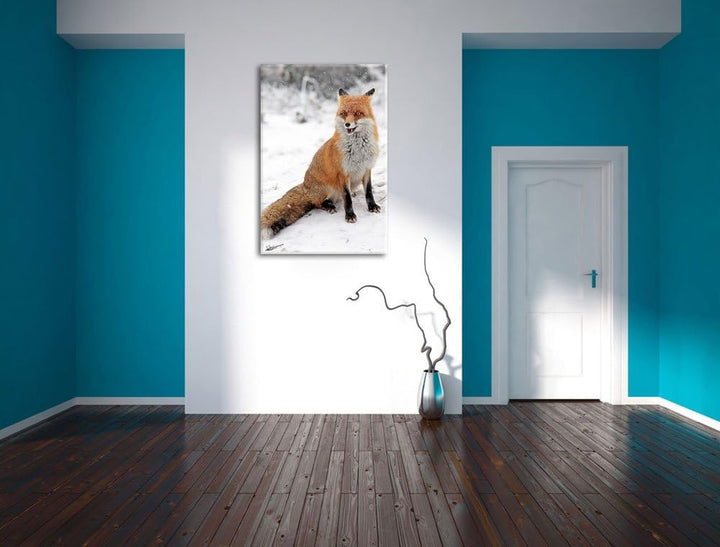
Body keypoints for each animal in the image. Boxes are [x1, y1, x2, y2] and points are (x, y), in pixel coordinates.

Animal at [261, 87, 381, 239]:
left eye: (358, 113)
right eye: (344, 113)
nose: (347, 124)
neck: (358, 150)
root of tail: (305, 186)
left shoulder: (367, 169)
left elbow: (369, 192)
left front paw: (372, 207)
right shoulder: (342, 173)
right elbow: (347, 198)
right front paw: (350, 215)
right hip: (328, 189)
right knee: (317, 203)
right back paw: (329, 206)